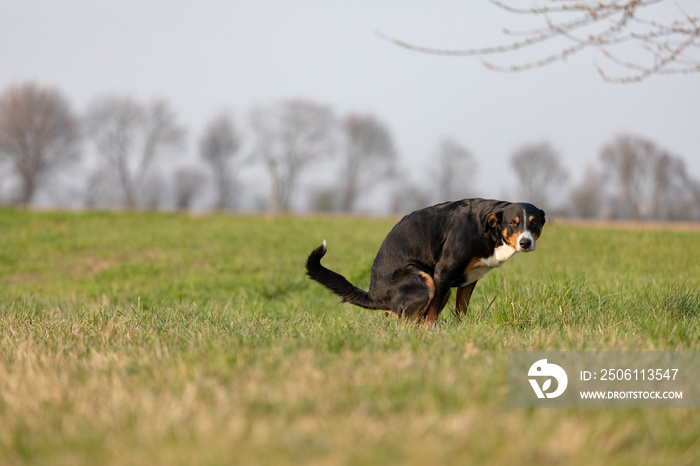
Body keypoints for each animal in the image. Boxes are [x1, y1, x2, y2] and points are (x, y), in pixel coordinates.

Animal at [306, 199, 548, 324]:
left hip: (442, 288)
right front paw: (431, 333)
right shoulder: (443, 273)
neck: (487, 230)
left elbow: (461, 310)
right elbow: (431, 315)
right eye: (513, 223)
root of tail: (374, 294)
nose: (525, 242)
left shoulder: (469, 281)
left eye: (534, 223)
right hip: (426, 281)